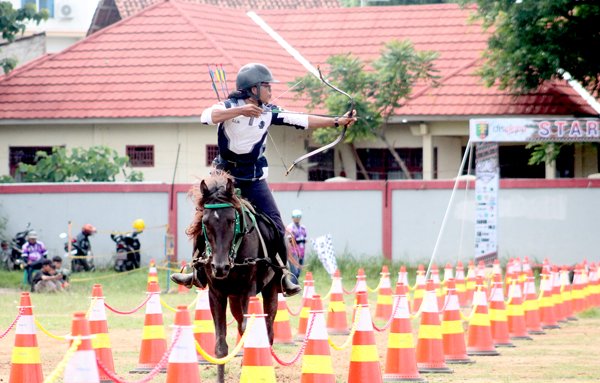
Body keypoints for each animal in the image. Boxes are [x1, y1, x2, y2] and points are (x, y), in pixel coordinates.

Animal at [188, 174, 278, 383]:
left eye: (231, 220)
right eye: (205, 222)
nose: (220, 267)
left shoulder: (248, 290)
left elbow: (248, 331)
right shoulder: (216, 294)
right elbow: (221, 346)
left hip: (270, 289)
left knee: (268, 330)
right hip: (234, 299)